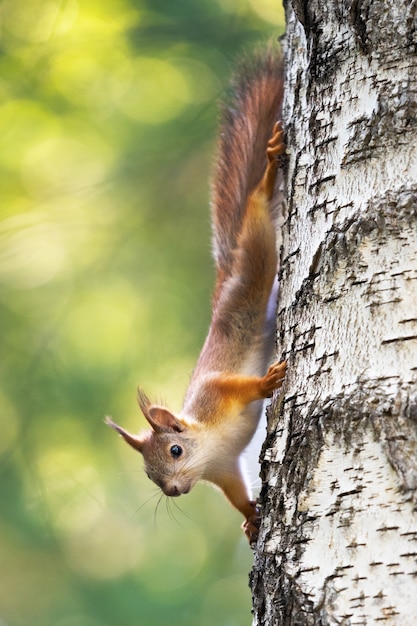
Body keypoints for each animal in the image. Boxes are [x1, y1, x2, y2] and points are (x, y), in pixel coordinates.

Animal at [106, 48, 286, 544]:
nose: (172, 491)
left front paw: (266, 383)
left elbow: (237, 384)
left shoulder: (216, 393)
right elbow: (237, 493)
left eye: (174, 450)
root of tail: (224, 278)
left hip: (253, 265)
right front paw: (251, 517)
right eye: (149, 477)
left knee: (257, 215)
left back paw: (268, 175)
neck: (209, 443)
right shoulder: (225, 469)